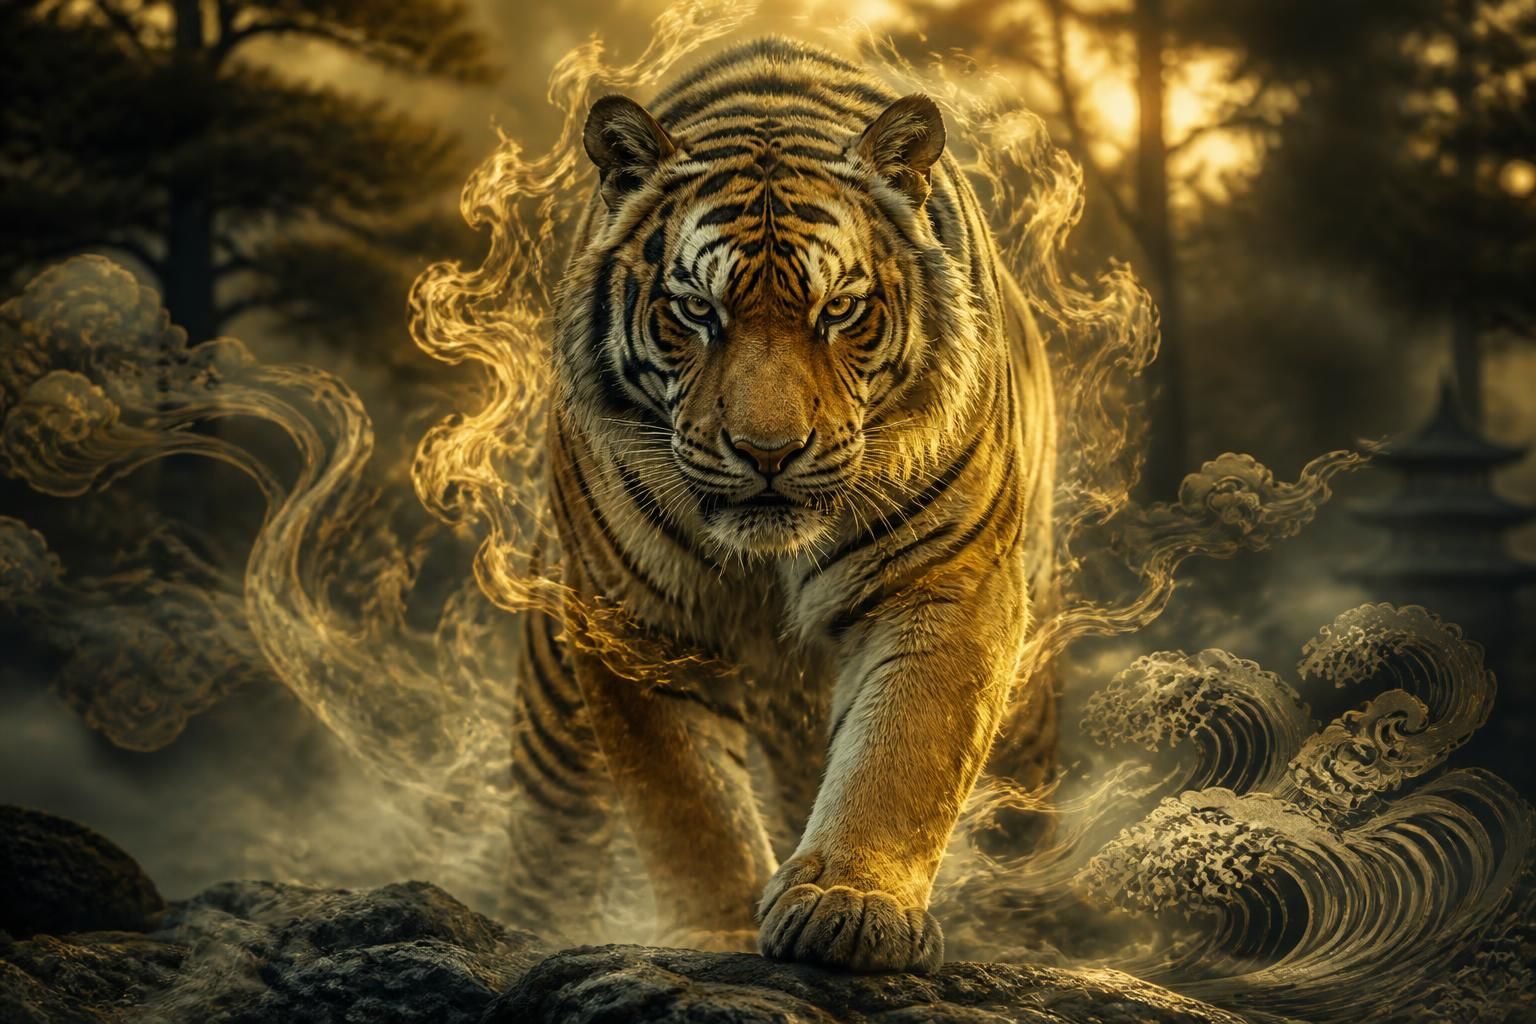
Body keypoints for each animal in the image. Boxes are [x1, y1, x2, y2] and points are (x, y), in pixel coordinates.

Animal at [505, 36, 1057, 974]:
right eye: (697, 309)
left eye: (840, 310)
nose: (768, 453)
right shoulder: (632, 614)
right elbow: (685, 799)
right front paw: (720, 931)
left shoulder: (949, 582)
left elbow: (905, 749)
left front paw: (851, 904)